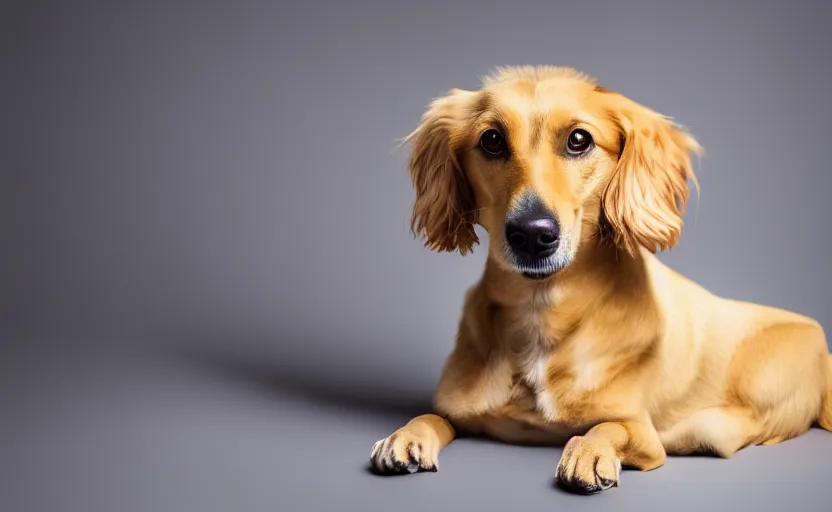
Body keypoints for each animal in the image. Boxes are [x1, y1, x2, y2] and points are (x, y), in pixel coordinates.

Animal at [370, 65, 832, 492]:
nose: (532, 234)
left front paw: (588, 452)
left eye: (579, 140)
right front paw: (404, 436)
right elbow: (430, 415)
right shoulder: (457, 409)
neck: (541, 313)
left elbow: (606, 427)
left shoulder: (639, 430)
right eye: (492, 140)